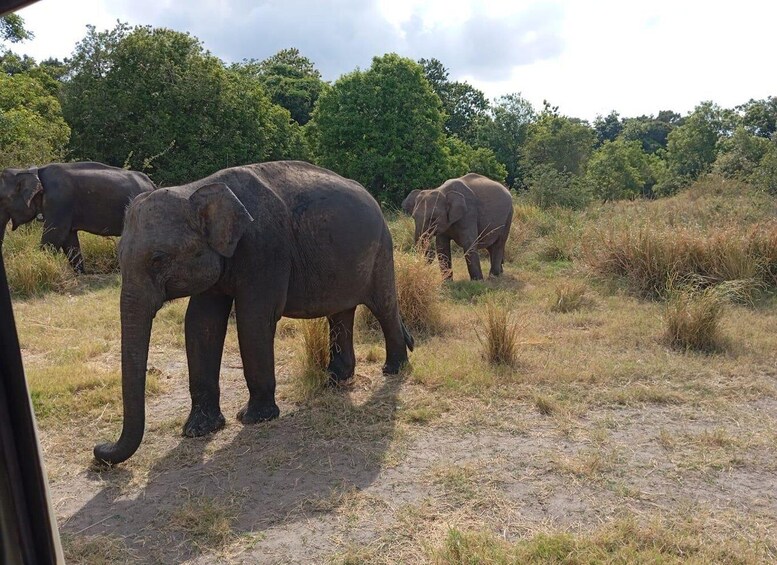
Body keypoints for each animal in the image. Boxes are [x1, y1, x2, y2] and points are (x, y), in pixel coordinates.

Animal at [0, 161, 156, 274]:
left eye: (2, 199)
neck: (32, 171)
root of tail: (152, 184)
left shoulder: (59, 201)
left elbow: (55, 235)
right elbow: (69, 240)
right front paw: (81, 273)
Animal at [92, 161, 412, 464]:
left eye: (158, 259)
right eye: (119, 257)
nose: (99, 449)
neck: (197, 189)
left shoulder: (265, 249)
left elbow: (253, 319)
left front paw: (253, 418)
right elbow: (200, 324)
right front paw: (198, 430)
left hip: (381, 250)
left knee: (383, 305)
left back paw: (393, 369)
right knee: (341, 312)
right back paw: (334, 380)